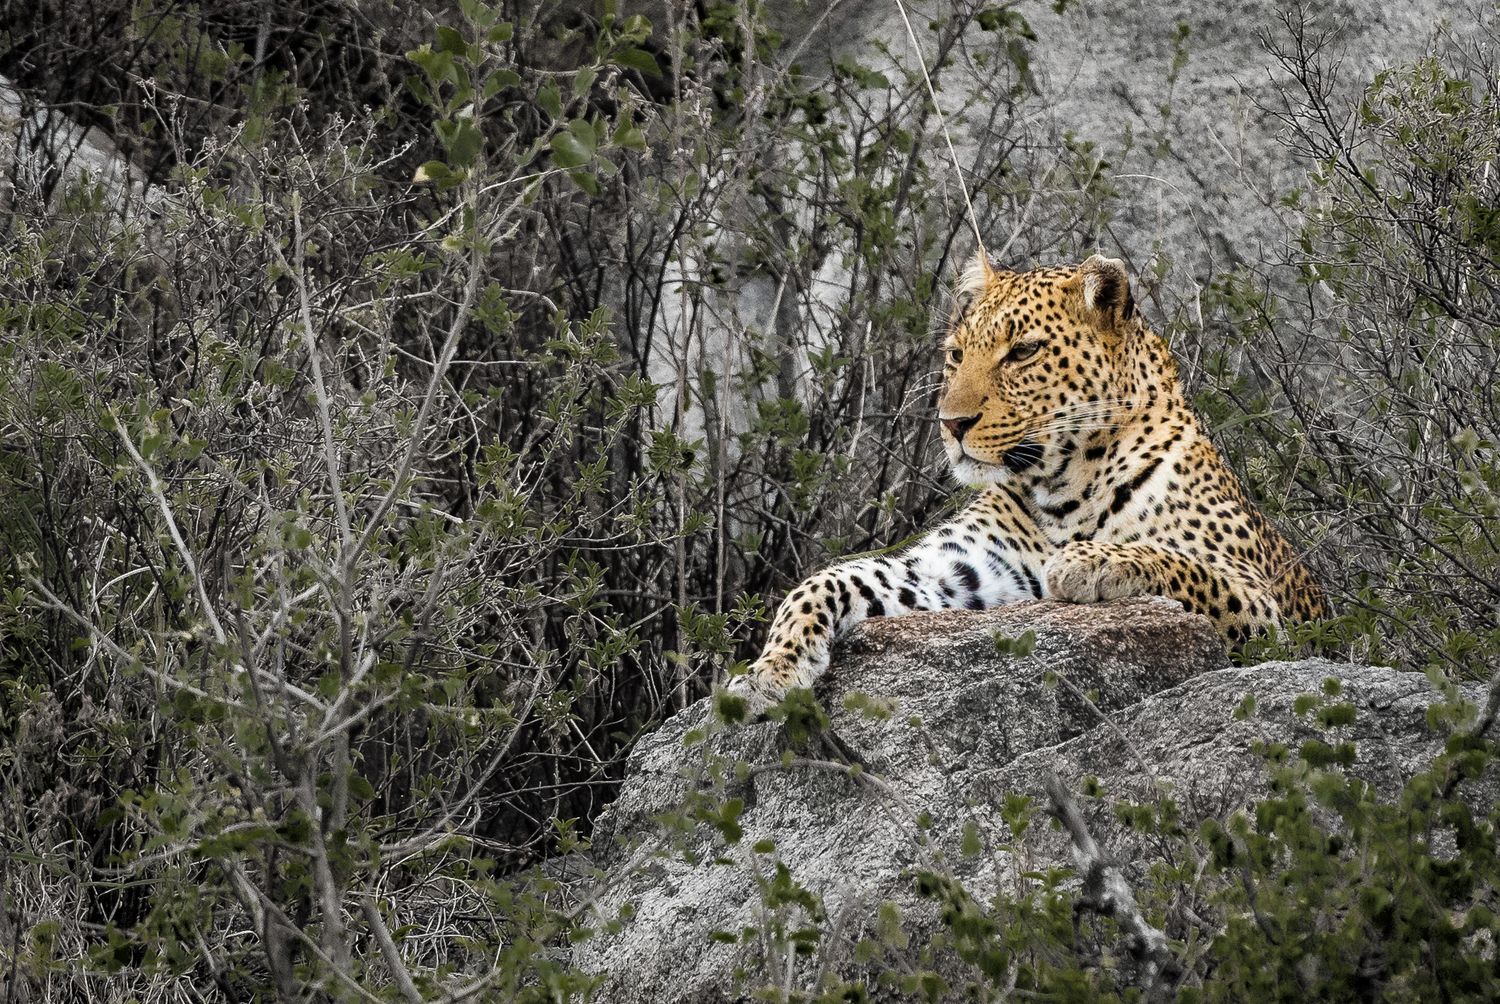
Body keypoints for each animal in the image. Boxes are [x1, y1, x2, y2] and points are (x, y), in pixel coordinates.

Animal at [725, 252, 1327, 716]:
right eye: (956, 355)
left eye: (1022, 352)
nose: (951, 424)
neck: (1063, 486)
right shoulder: (957, 573)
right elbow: (826, 579)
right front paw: (767, 671)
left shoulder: (1264, 605)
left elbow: (1176, 561)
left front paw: (1092, 562)